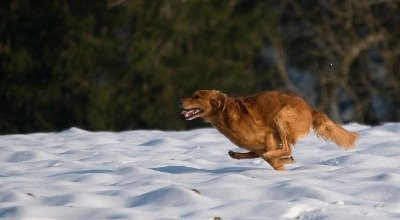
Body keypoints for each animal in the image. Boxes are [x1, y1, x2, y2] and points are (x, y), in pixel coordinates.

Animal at [180, 89, 358, 170]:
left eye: (197, 96)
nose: (180, 101)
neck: (225, 115)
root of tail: (310, 108)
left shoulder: (268, 137)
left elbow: (274, 159)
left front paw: (281, 167)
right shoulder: (259, 145)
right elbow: (263, 156)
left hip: (281, 117)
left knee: (286, 148)